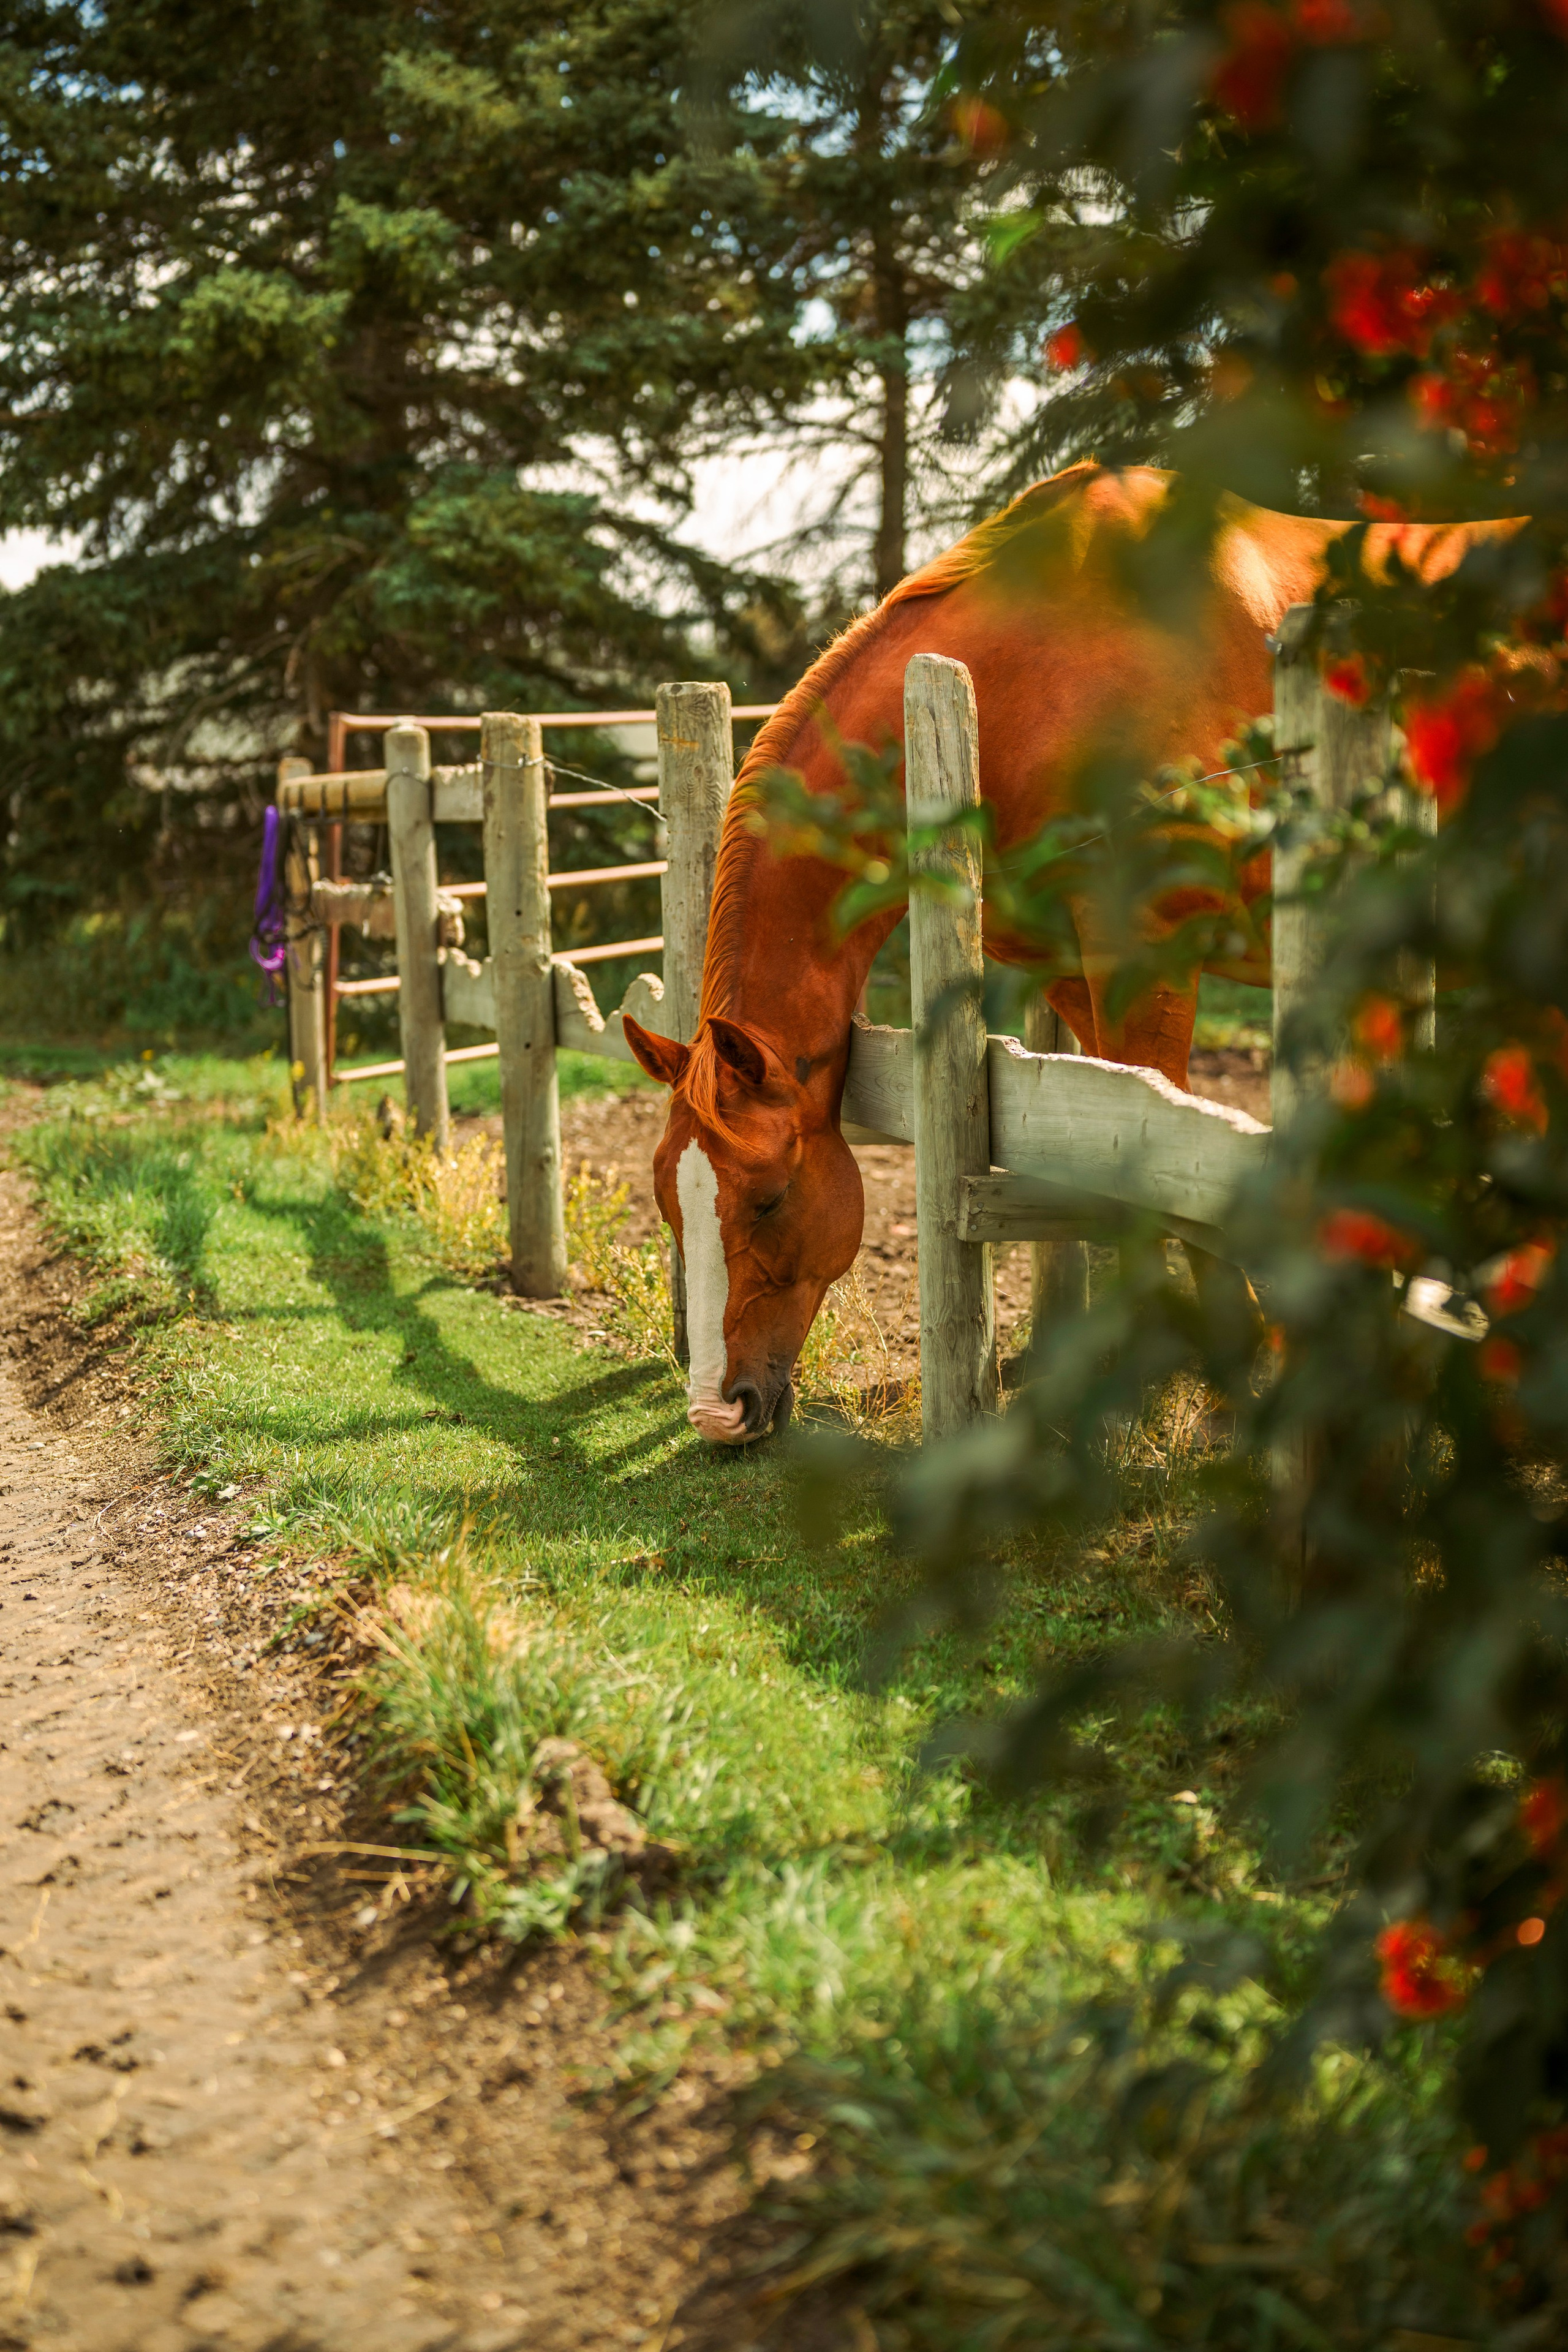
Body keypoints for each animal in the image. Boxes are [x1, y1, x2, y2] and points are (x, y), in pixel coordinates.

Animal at [623, 462, 1509, 1444]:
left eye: (770, 1198)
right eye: (666, 1199)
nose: (718, 1412)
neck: (1029, 678)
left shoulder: (1148, 964)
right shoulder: (1072, 978)